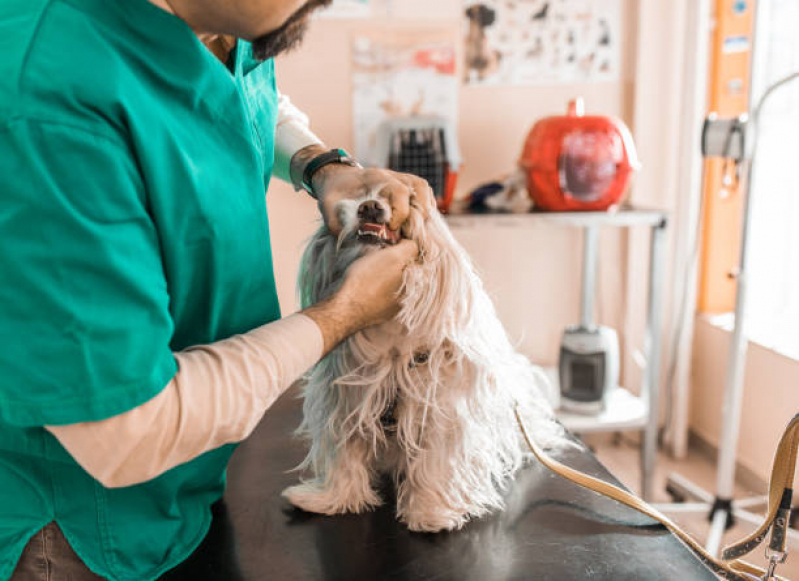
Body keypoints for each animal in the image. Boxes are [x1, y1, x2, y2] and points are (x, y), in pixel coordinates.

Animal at [284, 185, 564, 532]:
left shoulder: (441, 409)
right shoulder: (348, 401)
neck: (391, 336)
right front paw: (333, 498)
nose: (370, 207)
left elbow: (434, 462)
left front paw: (430, 513)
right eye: (363, 196)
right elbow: (345, 455)